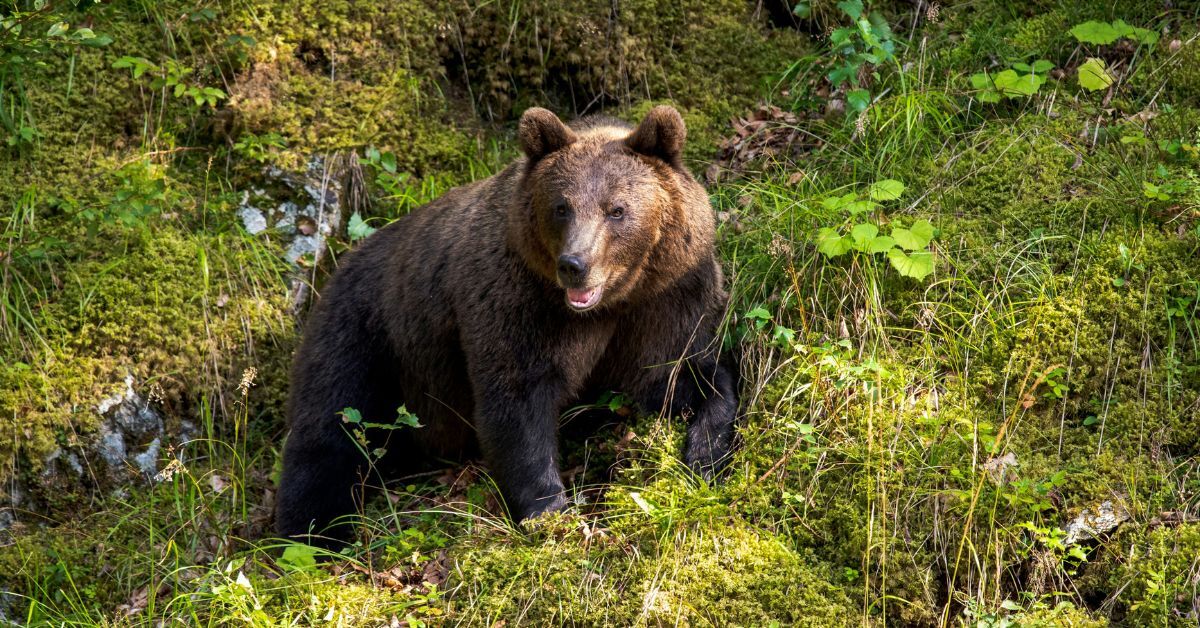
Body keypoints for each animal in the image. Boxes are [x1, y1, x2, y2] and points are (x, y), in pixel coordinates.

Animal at [275, 106, 739, 544]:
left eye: (616, 210)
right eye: (561, 207)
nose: (574, 265)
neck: (609, 303)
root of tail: (341, 265)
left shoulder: (665, 300)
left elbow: (677, 377)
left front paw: (704, 454)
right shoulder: (518, 301)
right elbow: (517, 400)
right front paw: (550, 510)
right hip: (366, 334)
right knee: (330, 430)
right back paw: (312, 533)